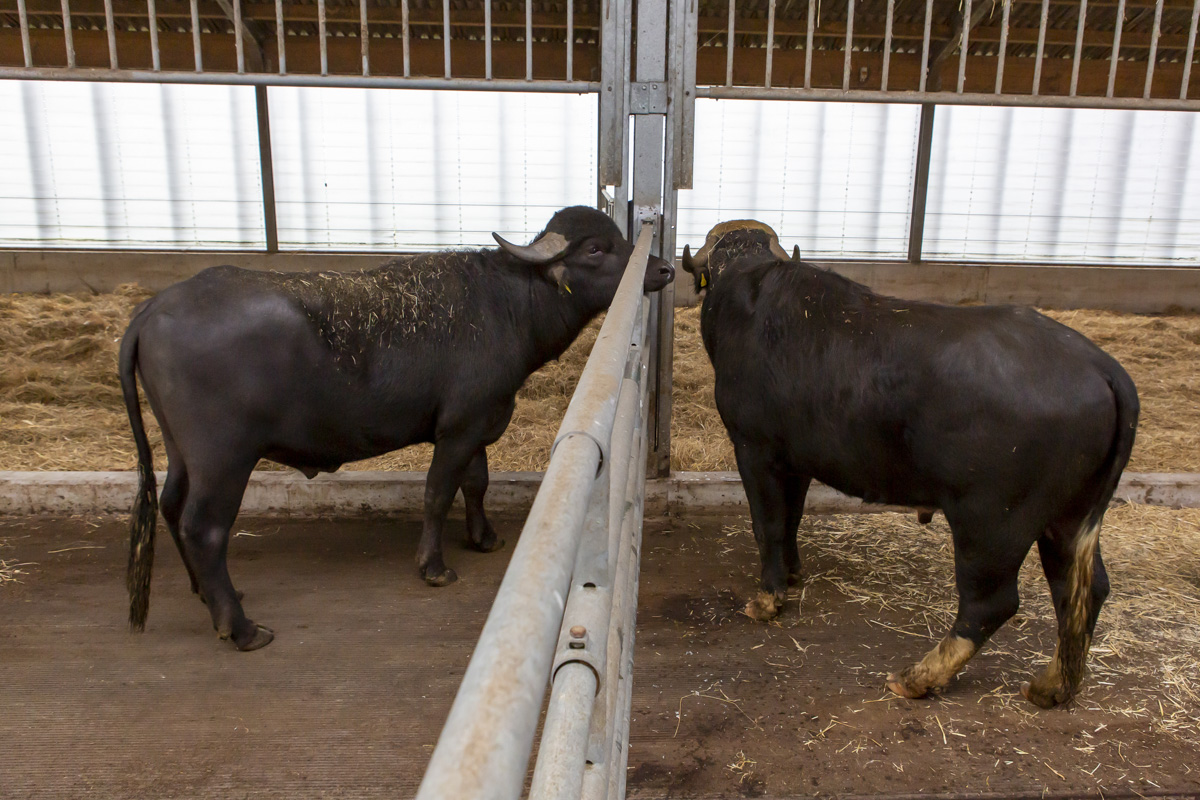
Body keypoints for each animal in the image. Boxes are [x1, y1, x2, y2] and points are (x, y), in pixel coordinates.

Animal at [120, 206, 674, 652]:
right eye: (597, 249)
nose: (663, 269)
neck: (507, 304)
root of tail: (151, 310)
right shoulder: (459, 429)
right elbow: (437, 493)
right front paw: (433, 566)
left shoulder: (476, 422)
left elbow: (476, 484)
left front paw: (484, 537)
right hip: (223, 458)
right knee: (203, 528)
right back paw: (240, 627)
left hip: (181, 451)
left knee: (170, 507)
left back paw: (205, 594)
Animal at [681, 220, 1138, 708]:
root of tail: (1103, 370)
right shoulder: (797, 460)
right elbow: (791, 519)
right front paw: (793, 571)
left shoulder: (754, 449)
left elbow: (766, 523)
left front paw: (767, 599)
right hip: (1069, 521)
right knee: (1082, 590)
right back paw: (1052, 686)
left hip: (992, 524)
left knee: (991, 603)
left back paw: (918, 676)